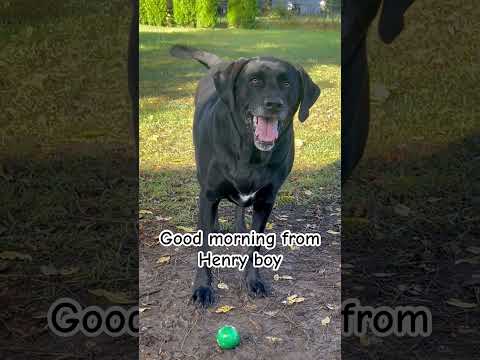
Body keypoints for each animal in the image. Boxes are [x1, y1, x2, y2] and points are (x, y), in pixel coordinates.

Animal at [171, 44, 320, 304]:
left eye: (287, 83)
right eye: (255, 81)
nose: (274, 104)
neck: (250, 153)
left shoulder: (266, 200)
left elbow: (255, 247)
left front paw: (252, 281)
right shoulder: (208, 194)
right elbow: (204, 246)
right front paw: (202, 287)